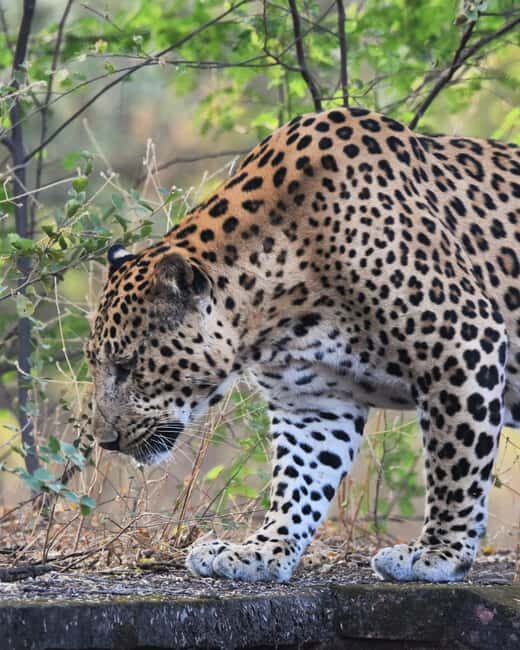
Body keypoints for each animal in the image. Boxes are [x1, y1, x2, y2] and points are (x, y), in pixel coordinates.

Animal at [86, 106, 520, 583]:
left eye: (128, 365)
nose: (105, 441)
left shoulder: (463, 339)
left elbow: (455, 461)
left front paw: (438, 553)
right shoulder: (313, 399)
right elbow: (300, 480)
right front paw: (261, 550)